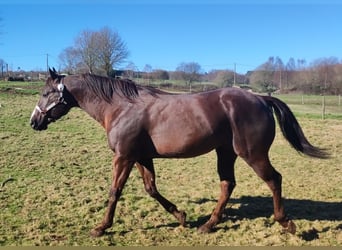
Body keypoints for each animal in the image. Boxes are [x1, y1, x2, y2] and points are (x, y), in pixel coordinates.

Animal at [30, 68, 328, 236]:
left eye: (45, 93)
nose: (34, 122)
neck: (121, 107)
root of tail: (260, 98)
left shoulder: (124, 157)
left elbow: (115, 191)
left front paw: (101, 228)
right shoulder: (141, 157)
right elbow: (151, 189)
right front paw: (181, 216)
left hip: (252, 154)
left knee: (274, 179)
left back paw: (286, 223)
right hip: (225, 153)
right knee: (227, 184)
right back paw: (208, 225)